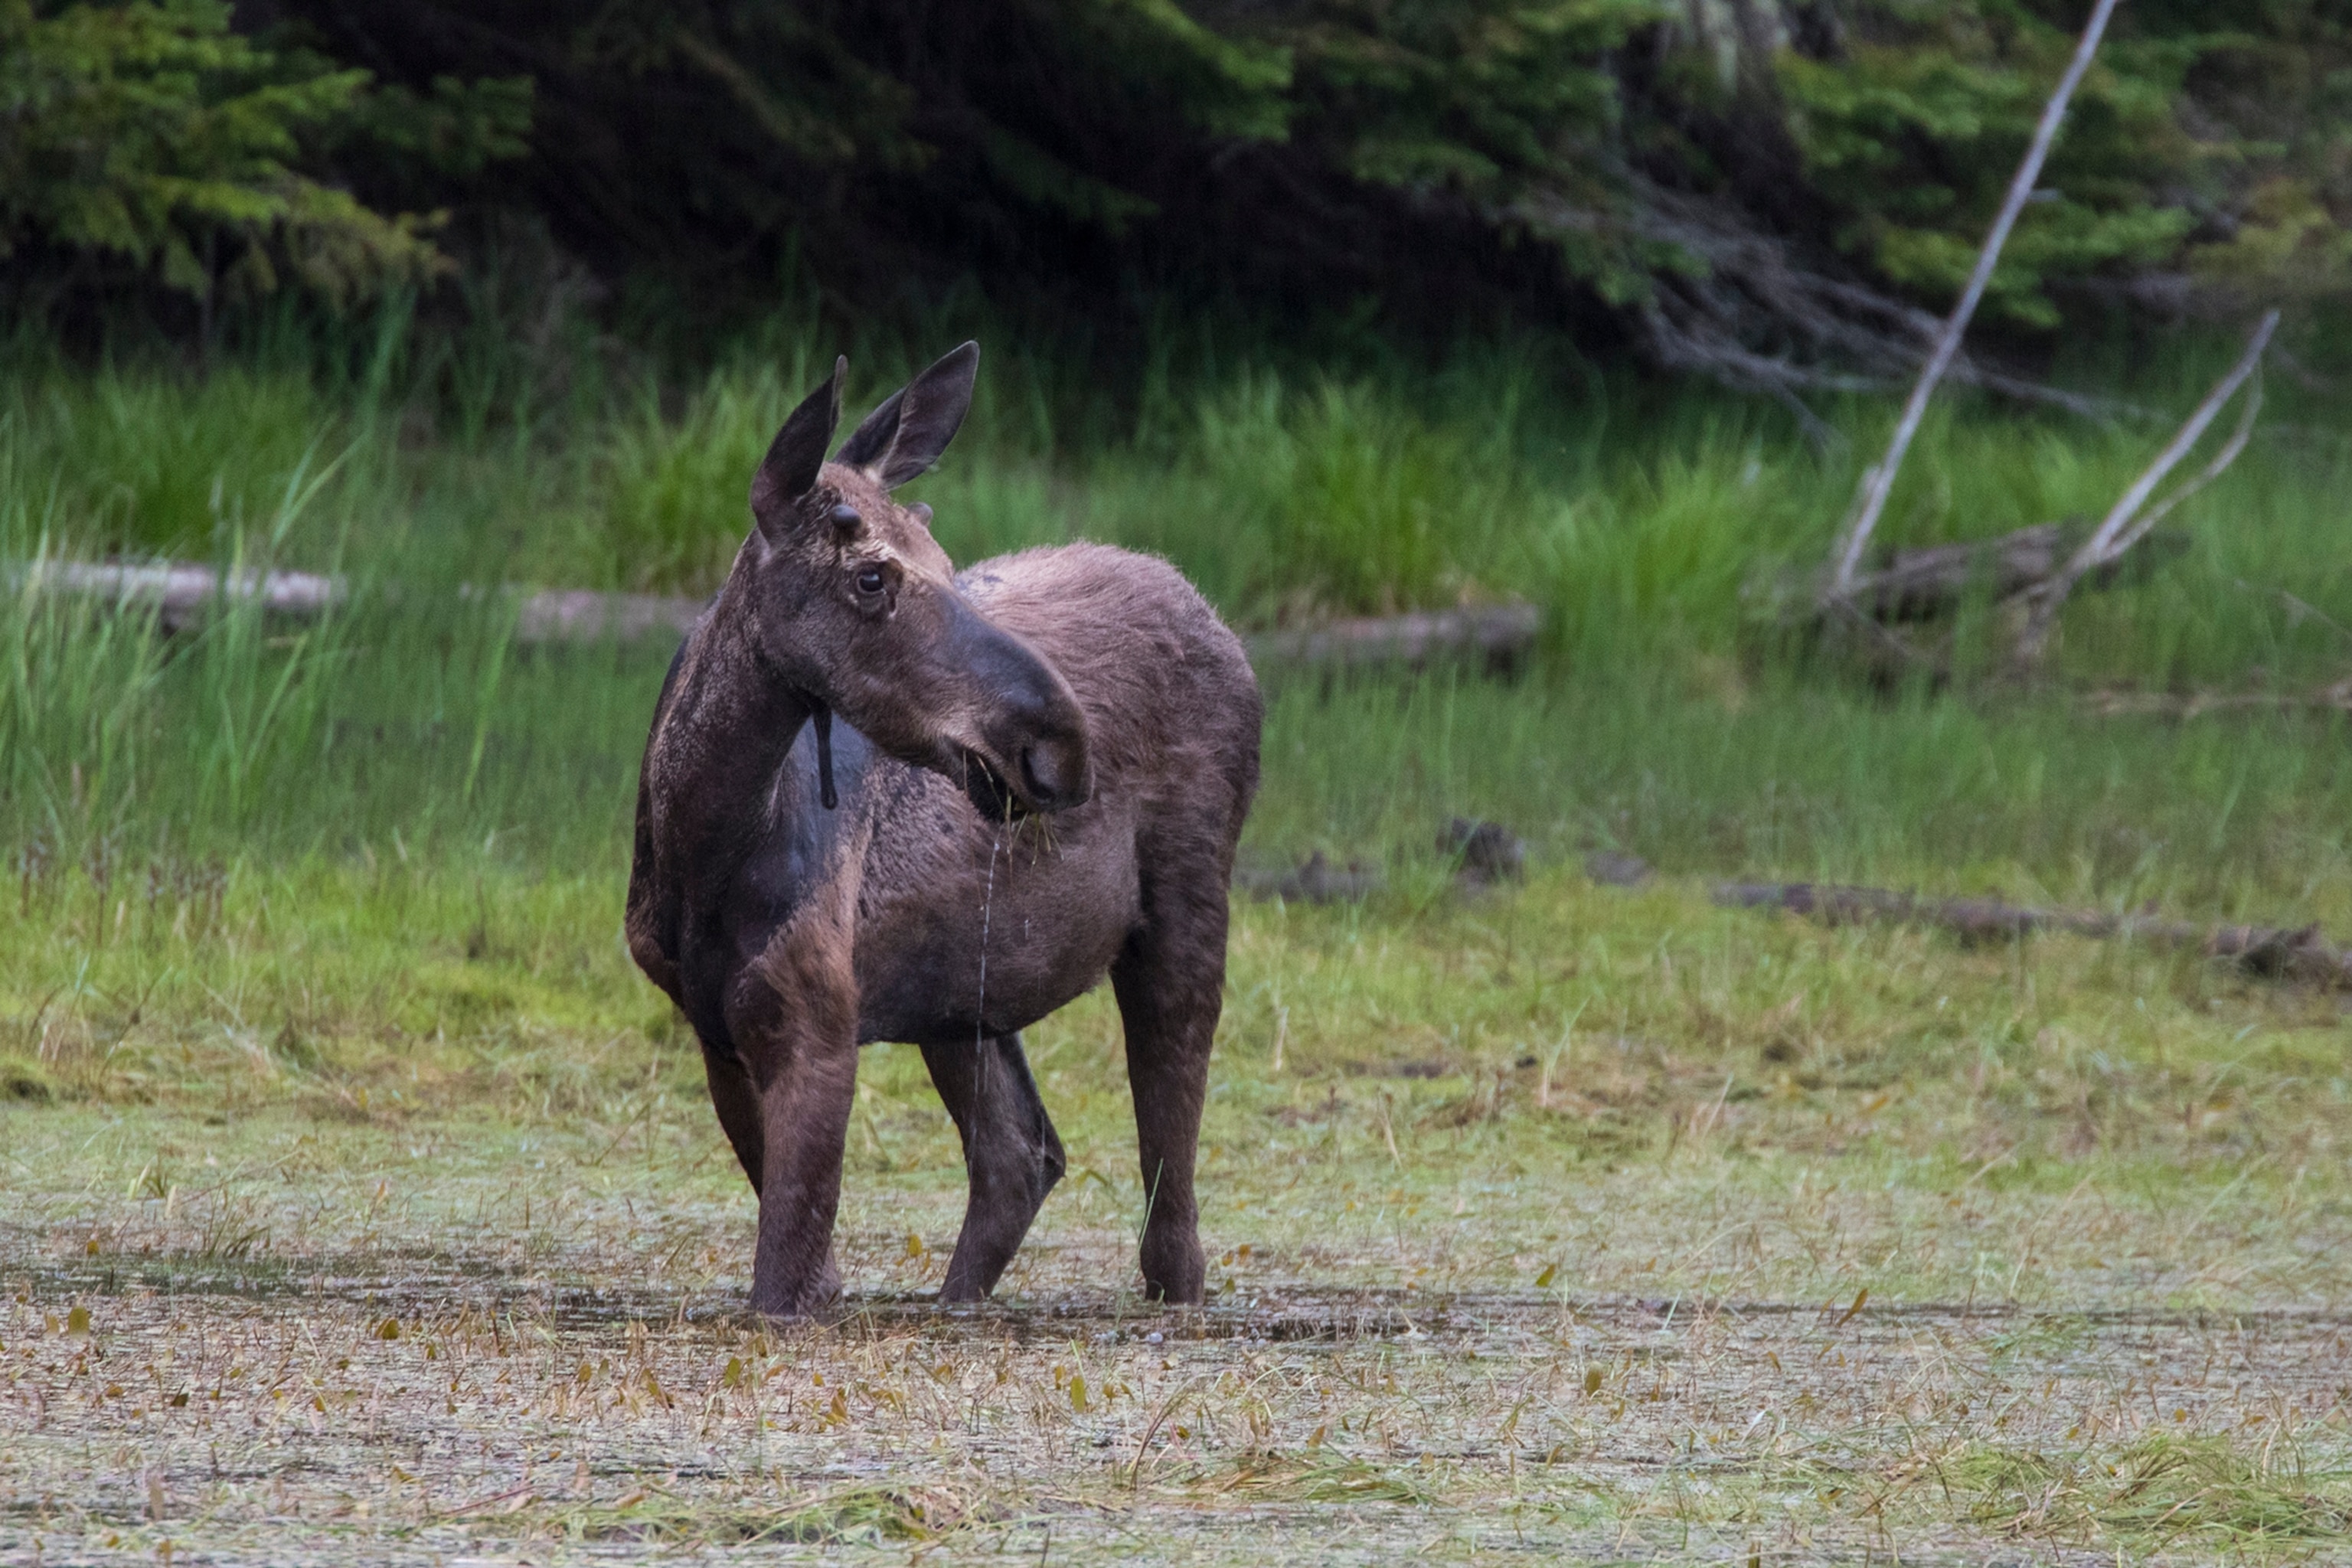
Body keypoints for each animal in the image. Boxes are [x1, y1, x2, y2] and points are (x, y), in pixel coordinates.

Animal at [625, 344, 1261, 1319]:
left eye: (944, 557)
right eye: (871, 575)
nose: (1061, 740)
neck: (700, 847)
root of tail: (1218, 619)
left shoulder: (817, 1019)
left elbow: (783, 1277)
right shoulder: (714, 1026)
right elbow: (808, 1271)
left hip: (1186, 901)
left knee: (1171, 1216)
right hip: (960, 982)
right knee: (1021, 1153)